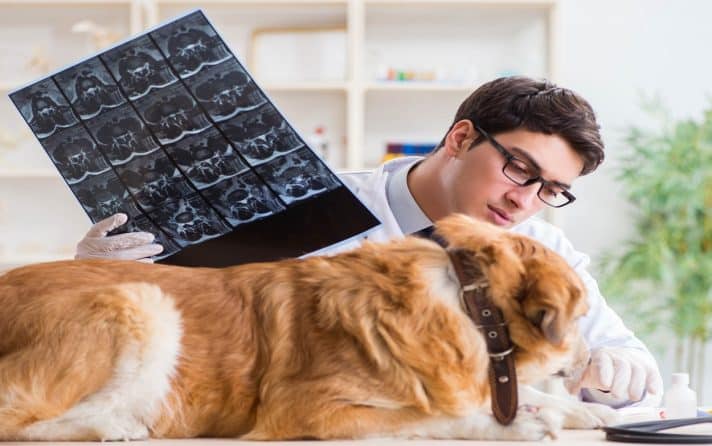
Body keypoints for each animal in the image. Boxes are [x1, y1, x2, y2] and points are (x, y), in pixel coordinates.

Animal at [0, 214, 616, 440]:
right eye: (582, 315)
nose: (592, 361)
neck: (467, 304)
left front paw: (582, 412)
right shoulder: (310, 411)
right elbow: (431, 419)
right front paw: (519, 426)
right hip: (140, 299)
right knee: (22, 420)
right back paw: (118, 427)